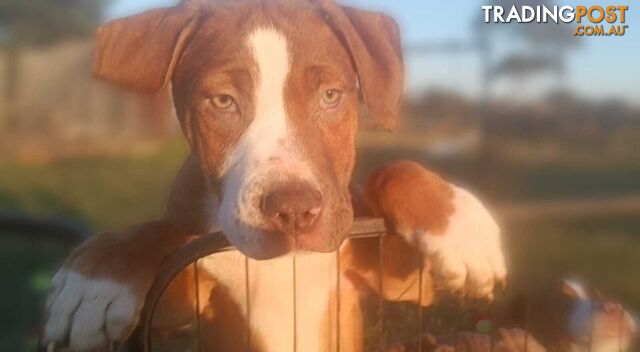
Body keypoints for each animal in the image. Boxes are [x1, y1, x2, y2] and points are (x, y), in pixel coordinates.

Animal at [42, 1, 508, 350]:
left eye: (331, 96)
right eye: (222, 101)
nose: (294, 210)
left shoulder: (401, 283)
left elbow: (392, 169)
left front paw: (458, 223)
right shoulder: (182, 302)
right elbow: (162, 229)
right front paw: (96, 279)